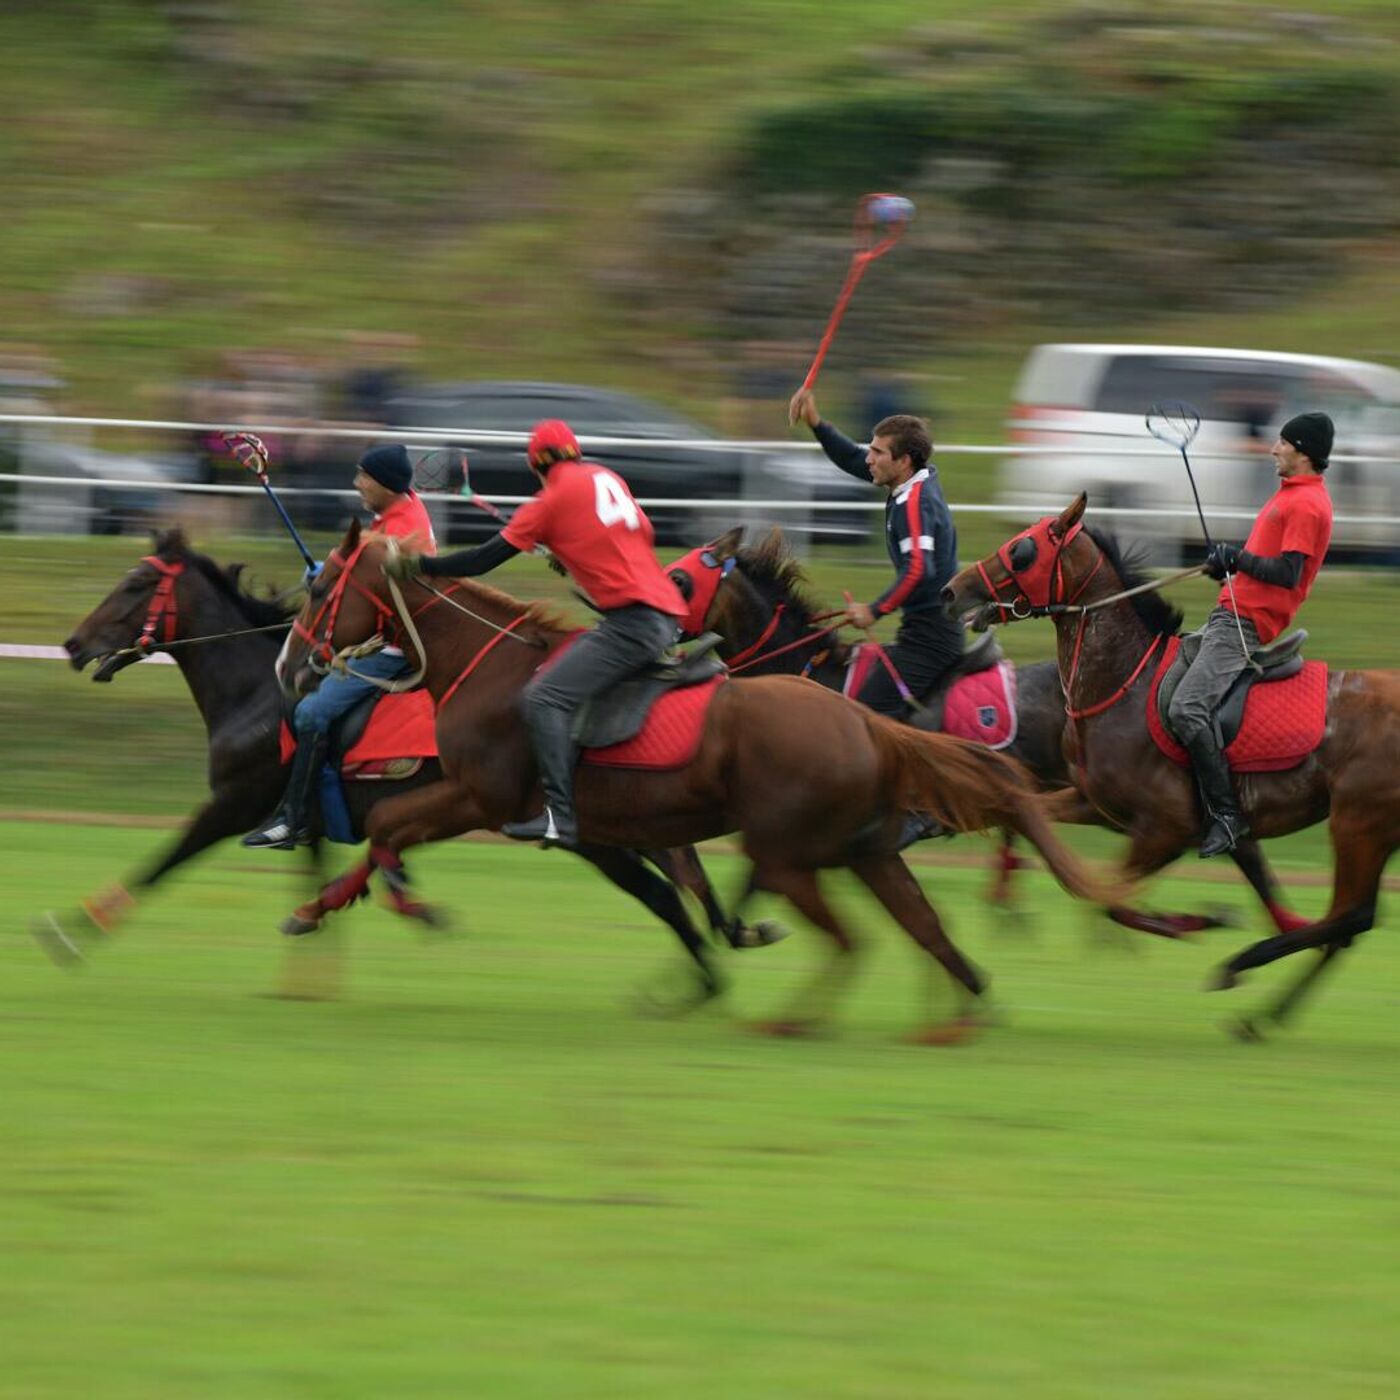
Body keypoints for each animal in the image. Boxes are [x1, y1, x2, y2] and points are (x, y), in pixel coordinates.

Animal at [43, 526, 761, 1008]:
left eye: (136, 585)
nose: (74, 643)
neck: (255, 692)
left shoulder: (234, 804)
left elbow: (161, 862)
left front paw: (72, 931)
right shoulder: (308, 815)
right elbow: (318, 871)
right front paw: (311, 962)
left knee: (666, 891)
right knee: (671, 887)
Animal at [278, 520, 1120, 1047]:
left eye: (321, 593)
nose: (292, 665)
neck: (492, 664)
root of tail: (867, 724)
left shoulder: (486, 797)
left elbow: (387, 830)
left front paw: (414, 905)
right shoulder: (611, 830)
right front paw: (317, 908)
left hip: (794, 850)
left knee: (859, 934)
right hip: (866, 850)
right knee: (926, 927)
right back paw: (959, 1009)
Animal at [940, 490, 1400, 1030]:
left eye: (1021, 551)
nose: (950, 591)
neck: (1126, 683)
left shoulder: (1166, 829)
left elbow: (1110, 899)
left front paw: (1200, 920)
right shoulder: (1094, 804)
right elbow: (1032, 819)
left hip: (1357, 821)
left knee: (1348, 915)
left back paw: (1243, 967)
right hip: (1372, 828)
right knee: (1348, 923)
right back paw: (1263, 1012)